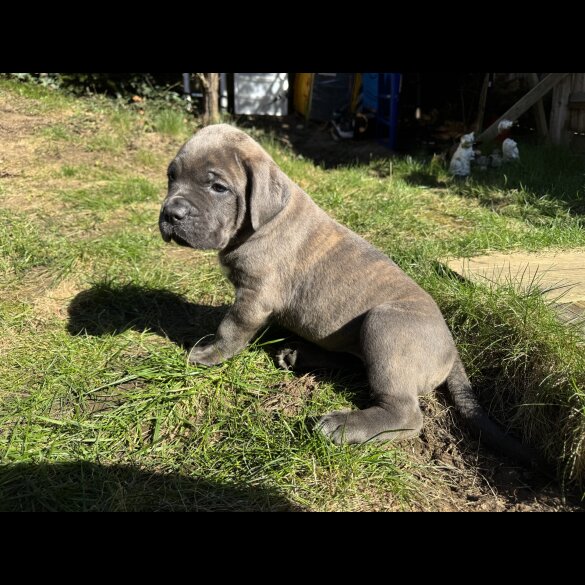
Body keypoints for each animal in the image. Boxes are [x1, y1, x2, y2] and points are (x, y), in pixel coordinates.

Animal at [157, 124, 536, 466]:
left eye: (218, 187)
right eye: (171, 177)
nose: (171, 214)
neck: (259, 222)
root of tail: (452, 348)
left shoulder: (254, 295)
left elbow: (230, 328)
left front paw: (208, 353)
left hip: (385, 326)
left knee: (405, 413)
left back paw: (342, 425)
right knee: (356, 363)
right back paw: (299, 357)